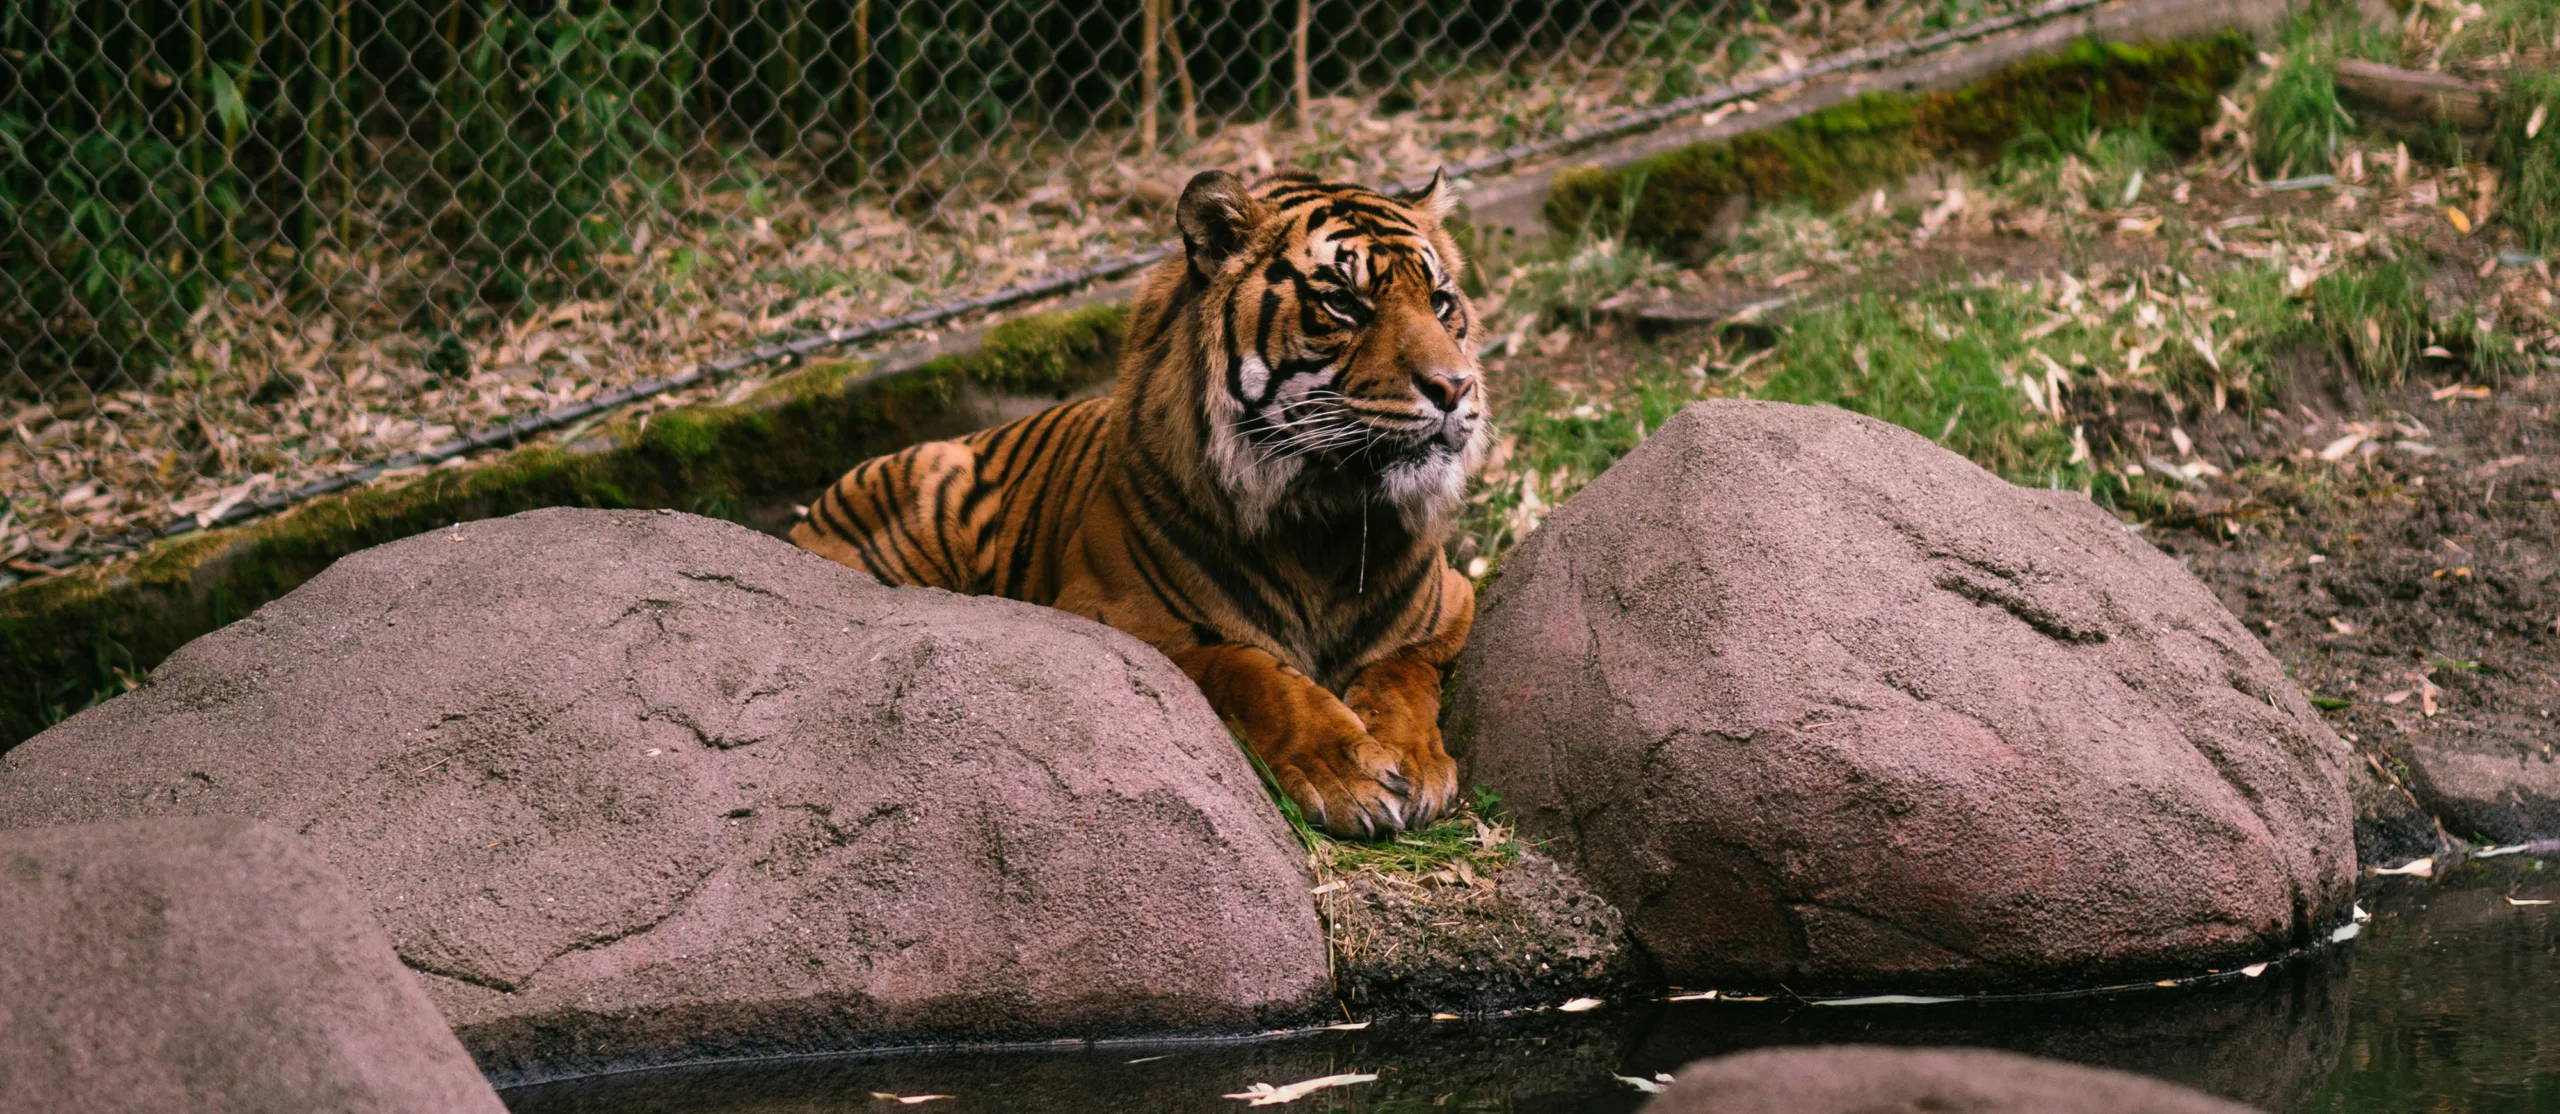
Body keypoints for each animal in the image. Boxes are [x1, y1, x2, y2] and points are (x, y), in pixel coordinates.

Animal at [791, 168, 1491, 839]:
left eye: (1440, 301)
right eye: (1343, 302)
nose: (1454, 388)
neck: (1327, 523)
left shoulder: (1450, 610)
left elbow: (1401, 676)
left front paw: (1417, 763)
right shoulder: (1113, 624)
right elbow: (1248, 669)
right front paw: (1347, 772)